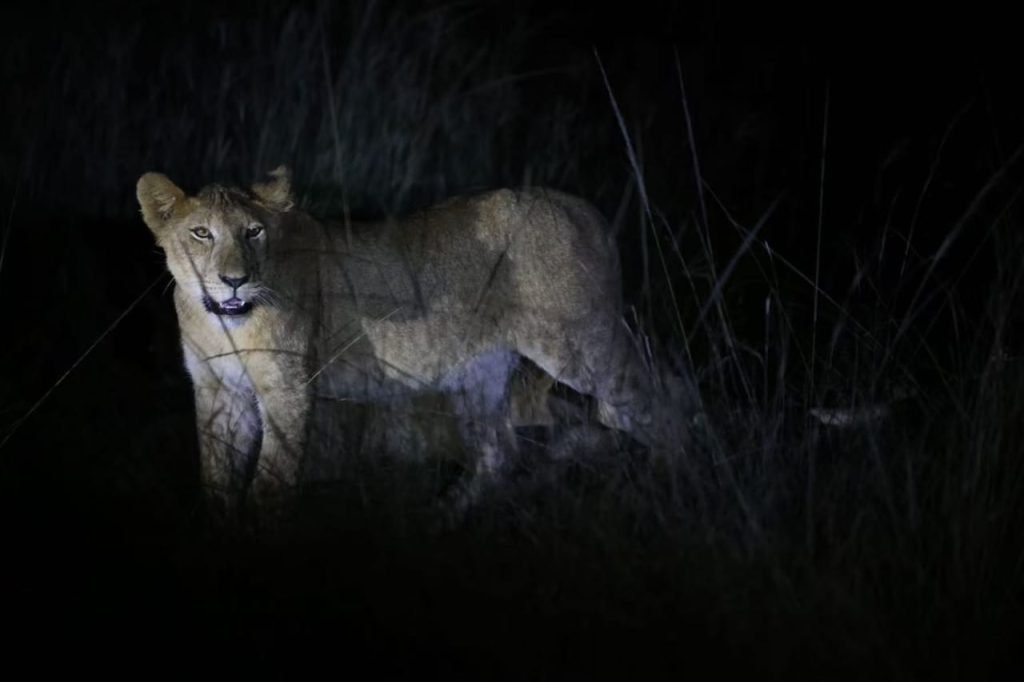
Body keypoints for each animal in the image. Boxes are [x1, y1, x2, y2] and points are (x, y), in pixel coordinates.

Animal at [136, 167, 691, 514]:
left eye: (253, 232)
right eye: (201, 234)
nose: (233, 280)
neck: (223, 321)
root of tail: (586, 210)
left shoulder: (287, 387)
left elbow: (271, 482)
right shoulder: (218, 393)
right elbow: (216, 481)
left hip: (581, 345)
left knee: (667, 401)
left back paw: (677, 491)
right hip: (482, 373)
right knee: (499, 453)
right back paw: (438, 521)